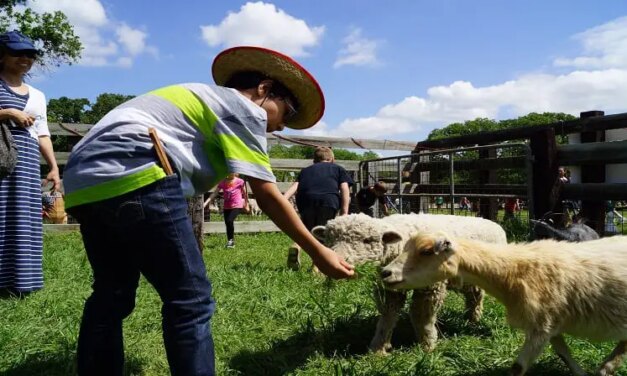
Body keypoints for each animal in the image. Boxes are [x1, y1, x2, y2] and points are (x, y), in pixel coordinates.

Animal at [312, 213, 508, 354]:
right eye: (329, 239)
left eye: (367, 240)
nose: (339, 260)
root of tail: (493, 223)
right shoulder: (389, 288)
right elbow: (388, 315)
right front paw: (379, 348)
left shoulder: (430, 287)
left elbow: (421, 315)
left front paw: (428, 345)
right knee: (472, 295)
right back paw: (469, 319)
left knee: (476, 296)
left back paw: (473, 320)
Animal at [380, 232, 627, 376]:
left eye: (426, 251)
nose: (385, 273)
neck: (511, 272)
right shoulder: (550, 322)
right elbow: (562, 352)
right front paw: (583, 373)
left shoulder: (541, 323)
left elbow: (517, 368)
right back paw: (607, 367)